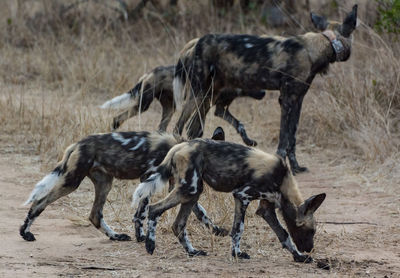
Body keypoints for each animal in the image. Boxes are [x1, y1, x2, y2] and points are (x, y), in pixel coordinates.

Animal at [21, 127, 228, 242]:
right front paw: (141, 236)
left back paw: (116, 236)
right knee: (39, 202)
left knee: (95, 215)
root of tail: (77, 144)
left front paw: (216, 230)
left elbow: (201, 212)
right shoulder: (149, 178)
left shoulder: (177, 186)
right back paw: (25, 232)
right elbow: (141, 212)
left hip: (105, 183)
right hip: (71, 181)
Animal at [100, 67, 266, 148]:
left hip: (169, 108)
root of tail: (151, 71)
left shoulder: (219, 108)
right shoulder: (203, 103)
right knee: (119, 117)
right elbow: (195, 128)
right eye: (254, 82)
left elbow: (239, 125)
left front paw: (249, 141)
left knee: (161, 127)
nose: (264, 92)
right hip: (145, 105)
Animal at [133, 140, 326, 262]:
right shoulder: (242, 196)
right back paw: (150, 245)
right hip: (190, 189)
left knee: (178, 225)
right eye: (311, 231)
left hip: (193, 192)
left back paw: (193, 252)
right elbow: (238, 229)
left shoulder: (266, 209)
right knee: (154, 208)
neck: (282, 179)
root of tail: (180, 145)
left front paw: (299, 257)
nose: (309, 249)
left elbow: (284, 234)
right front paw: (236, 254)